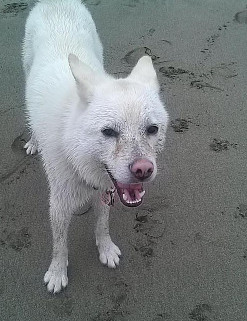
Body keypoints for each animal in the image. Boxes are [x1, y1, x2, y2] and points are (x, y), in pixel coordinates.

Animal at [23, 0, 169, 292]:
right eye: (108, 132)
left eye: (152, 129)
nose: (143, 170)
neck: (75, 150)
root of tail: (55, 2)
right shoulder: (58, 204)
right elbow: (59, 244)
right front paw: (57, 272)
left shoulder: (106, 191)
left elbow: (102, 225)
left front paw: (106, 249)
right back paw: (33, 141)